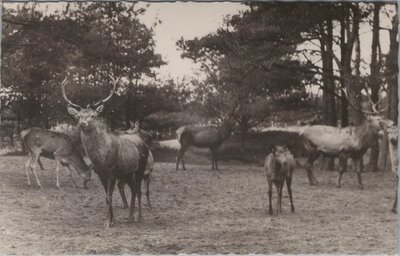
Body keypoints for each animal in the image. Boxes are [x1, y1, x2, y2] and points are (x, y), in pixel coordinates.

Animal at [61, 75, 150, 227]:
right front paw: (109, 219)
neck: (100, 157)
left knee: (138, 190)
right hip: (127, 172)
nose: (82, 123)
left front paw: (110, 222)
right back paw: (130, 217)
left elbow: (109, 195)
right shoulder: (100, 173)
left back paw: (140, 218)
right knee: (133, 189)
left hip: (141, 168)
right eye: (78, 116)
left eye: (92, 115)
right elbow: (106, 196)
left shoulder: (112, 171)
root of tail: (143, 142)